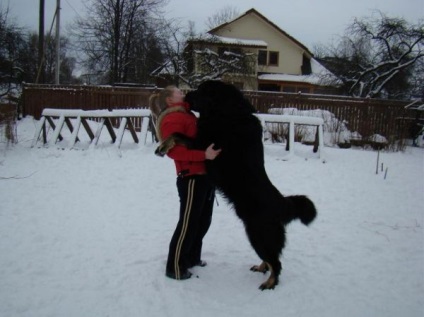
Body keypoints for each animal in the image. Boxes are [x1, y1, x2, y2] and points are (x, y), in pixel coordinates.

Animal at [157, 79, 316, 288]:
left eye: (200, 91)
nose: (186, 95)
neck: (227, 112)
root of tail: (281, 203)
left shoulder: (204, 144)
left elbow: (176, 134)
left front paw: (162, 146)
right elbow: (176, 135)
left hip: (258, 234)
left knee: (277, 262)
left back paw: (269, 283)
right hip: (256, 234)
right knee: (270, 259)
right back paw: (261, 268)